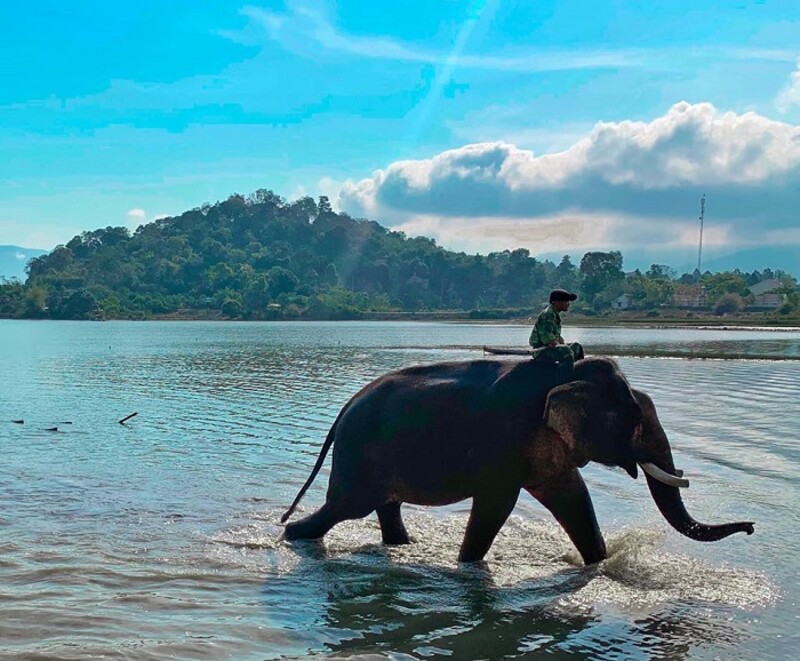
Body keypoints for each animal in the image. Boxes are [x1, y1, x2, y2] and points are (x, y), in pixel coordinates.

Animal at [282, 356, 756, 564]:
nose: (751, 527)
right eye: (637, 420)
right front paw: (466, 565)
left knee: (385, 505)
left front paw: (598, 563)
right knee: (345, 507)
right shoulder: (504, 441)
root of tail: (346, 406)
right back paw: (292, 535)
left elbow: (572, 496)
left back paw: (405, 546)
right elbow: (497, 504)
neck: (564, 373)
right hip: (358, 456)